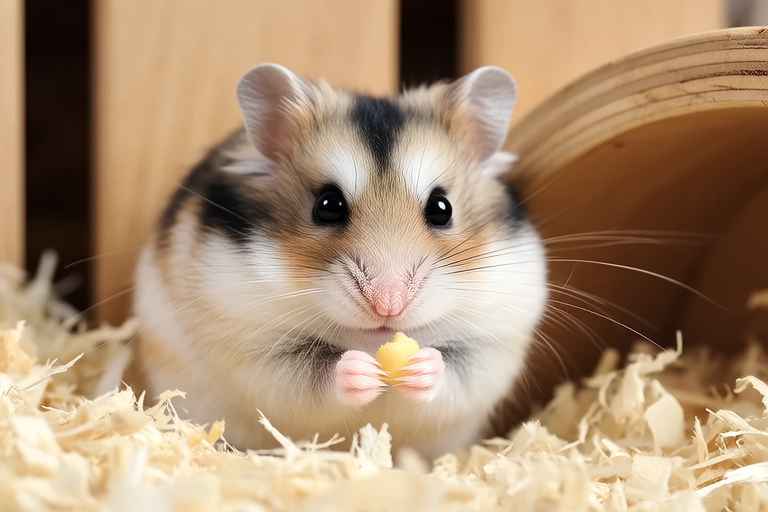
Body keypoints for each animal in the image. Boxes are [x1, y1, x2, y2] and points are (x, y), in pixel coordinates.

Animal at [131, 63, 548, 460]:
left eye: (441, 208)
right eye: (327, 206)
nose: (388, 306)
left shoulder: (491, 346)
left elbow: (453, 375)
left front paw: (420, 367)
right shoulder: (255, 347)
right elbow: (314, 376)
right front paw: (360, 371)